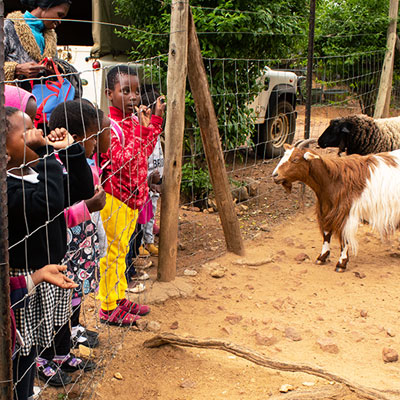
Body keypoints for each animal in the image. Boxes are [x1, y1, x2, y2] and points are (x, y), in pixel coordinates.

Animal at [274, 141, 400, 272]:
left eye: (295, 159)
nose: (275, 175)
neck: (334, 180)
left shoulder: (345, 213)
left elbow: (344, 239)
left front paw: (341, 263)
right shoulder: (326, 209)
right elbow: (326, 234)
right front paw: (322, 257)